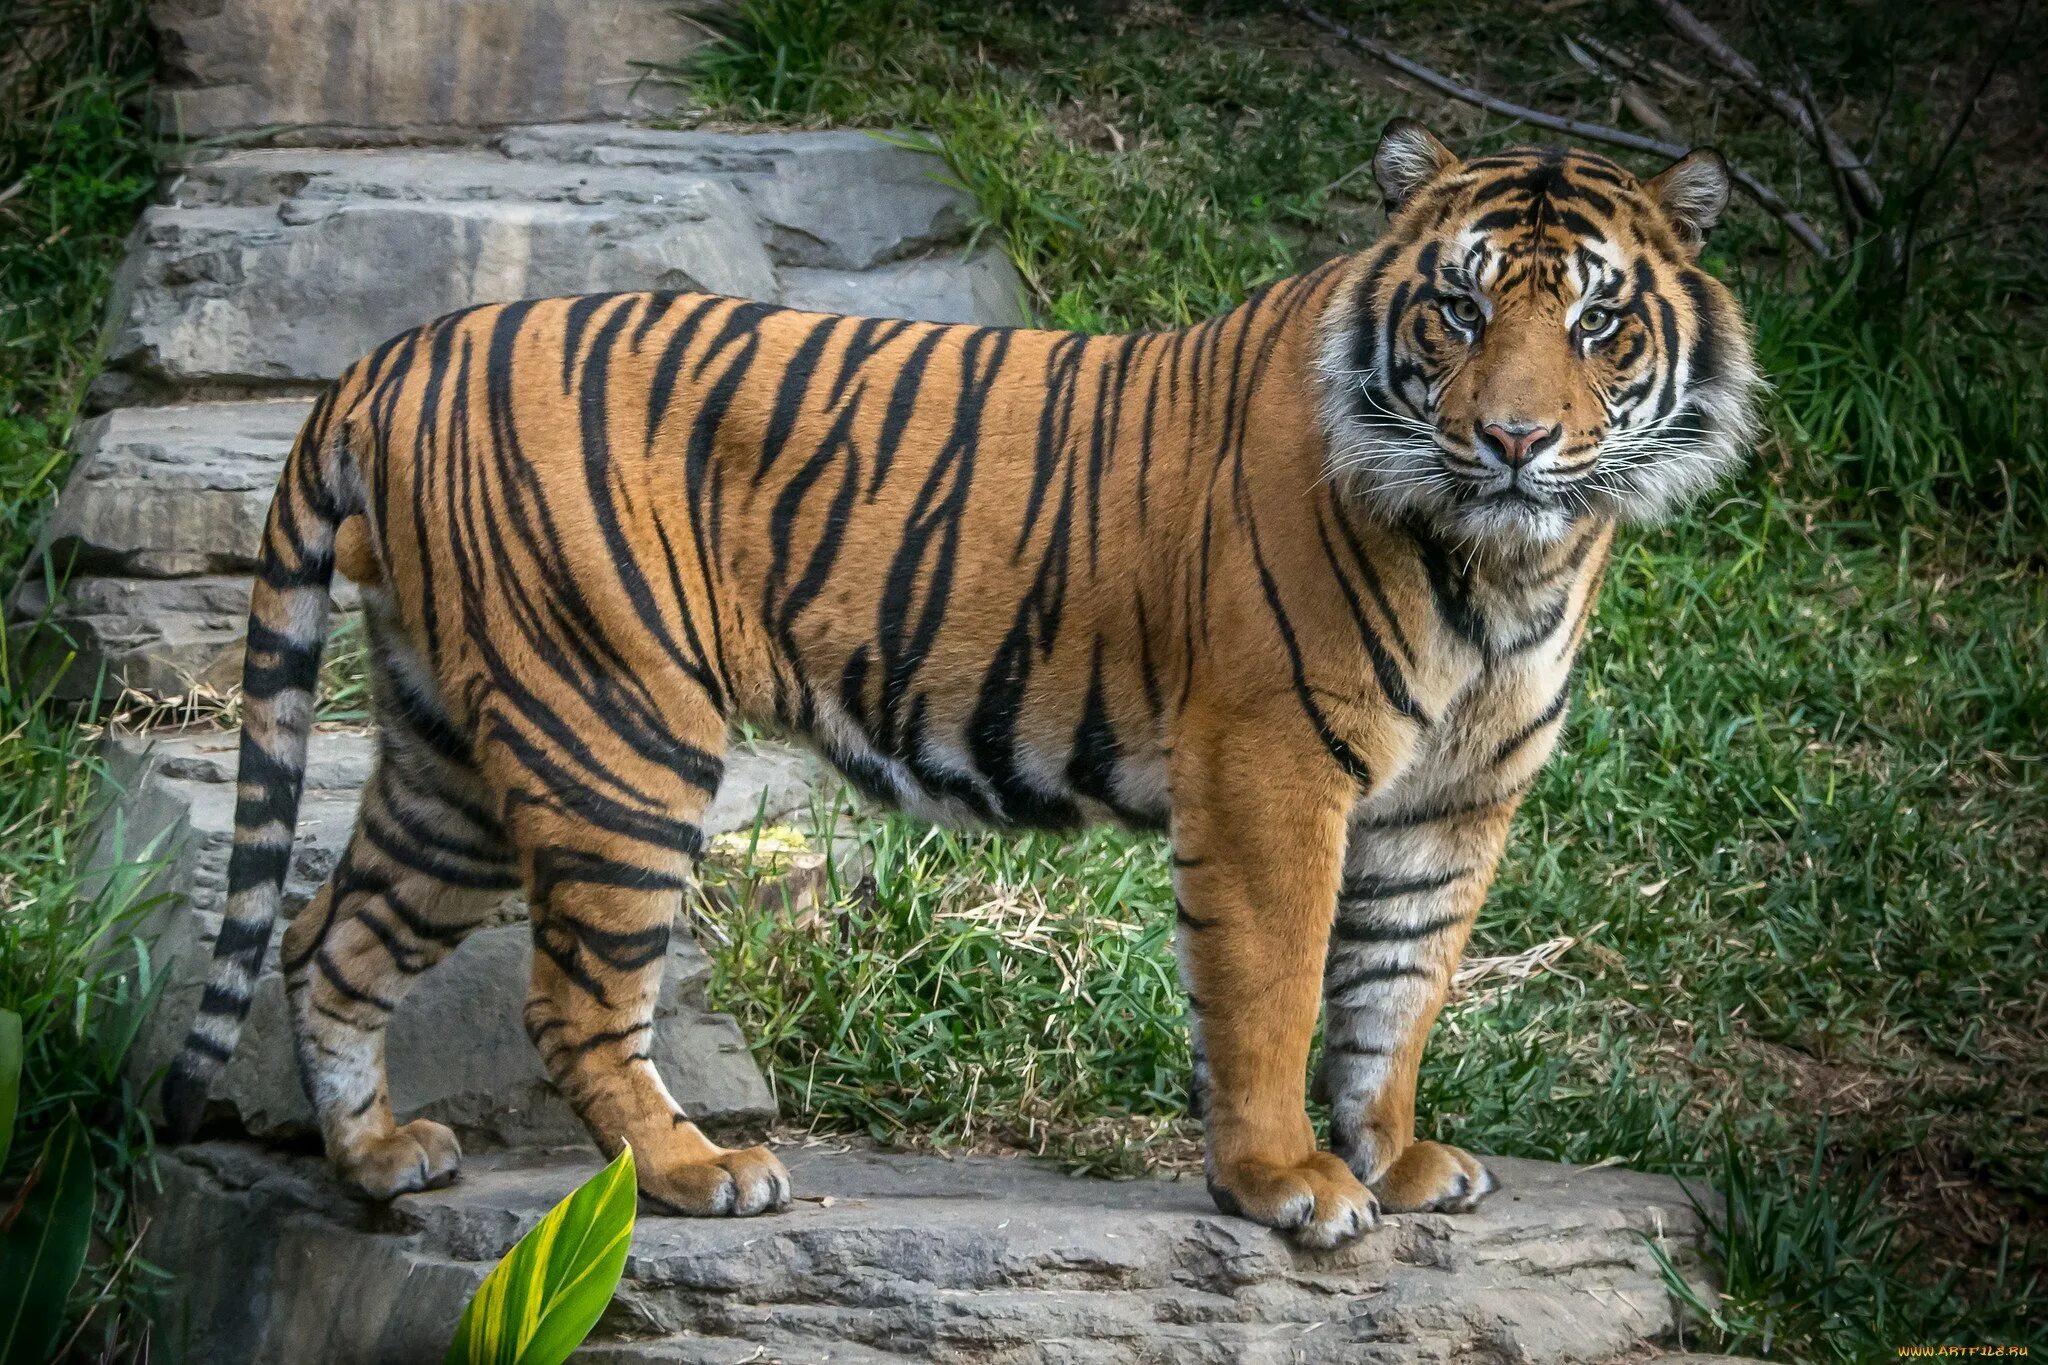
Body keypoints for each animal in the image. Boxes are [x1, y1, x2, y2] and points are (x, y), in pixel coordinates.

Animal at [159, 120, 1761, 1252]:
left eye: (1600, 325)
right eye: (1459, 311)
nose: (1513, 441)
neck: (1507, 568)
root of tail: (393, 355)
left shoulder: (1452, 803)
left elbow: (1398, 991)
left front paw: (1400, 1159)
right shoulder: (1271, 769)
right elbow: (1275, 989)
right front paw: (1284, 1185)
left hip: (450, 743)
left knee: (328, 935)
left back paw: (378, 1160)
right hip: (612, 726)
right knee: (568, 996)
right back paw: (695, 1172)